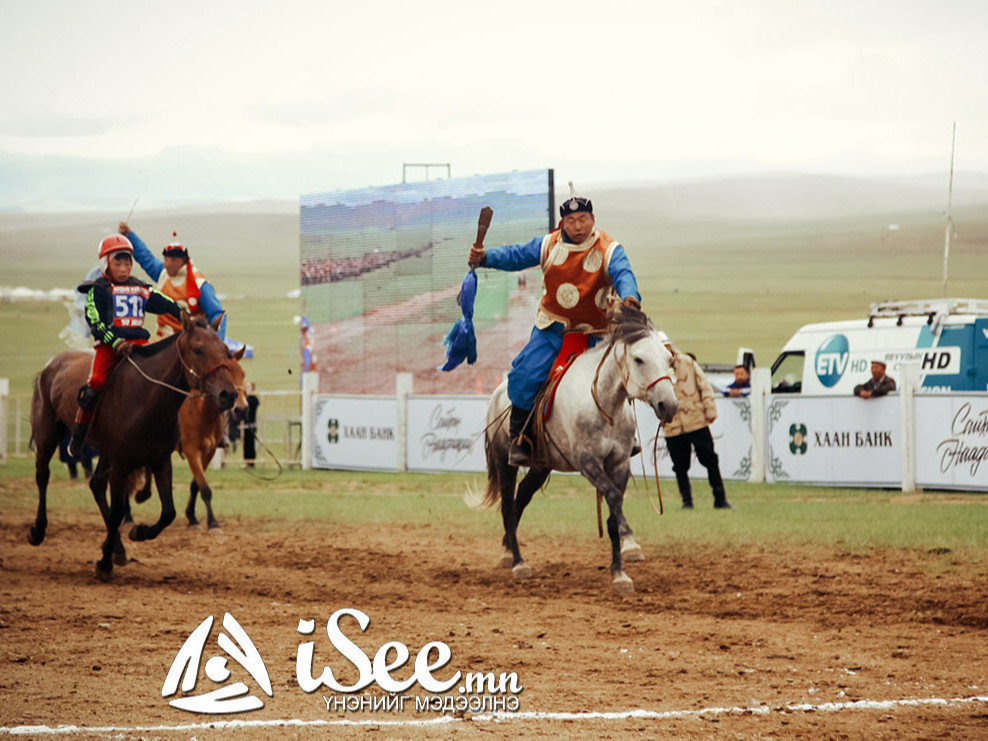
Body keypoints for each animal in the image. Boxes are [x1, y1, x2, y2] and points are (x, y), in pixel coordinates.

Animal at [29, 312, 238, 580]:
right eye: (198, 349)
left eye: (225, 350)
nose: (228, 395)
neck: (146, 397)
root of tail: (51, 365)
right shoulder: (122, 463)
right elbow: (118, 512)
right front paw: (104, 563)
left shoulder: (160, 460)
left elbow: (168, 512)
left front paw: (137, 533)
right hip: (47, 434)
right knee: (43, 476)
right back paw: (38, 530)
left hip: (105, 453)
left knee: (96, 486)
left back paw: (118, 548)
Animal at [484, 300, 680, 588]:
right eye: (638, 359)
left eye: (668, 360)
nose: (669, 405)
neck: (604, 406)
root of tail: (497, 395)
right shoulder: (588, 463)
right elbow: (613, 499)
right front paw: (623, 557)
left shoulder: (619, 464)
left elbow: (613, 511)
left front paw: (619, 571)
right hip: (504, 462)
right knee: (509, 507)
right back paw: (519, 562)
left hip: (540, 467)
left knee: (520, 502)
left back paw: (508, 551)